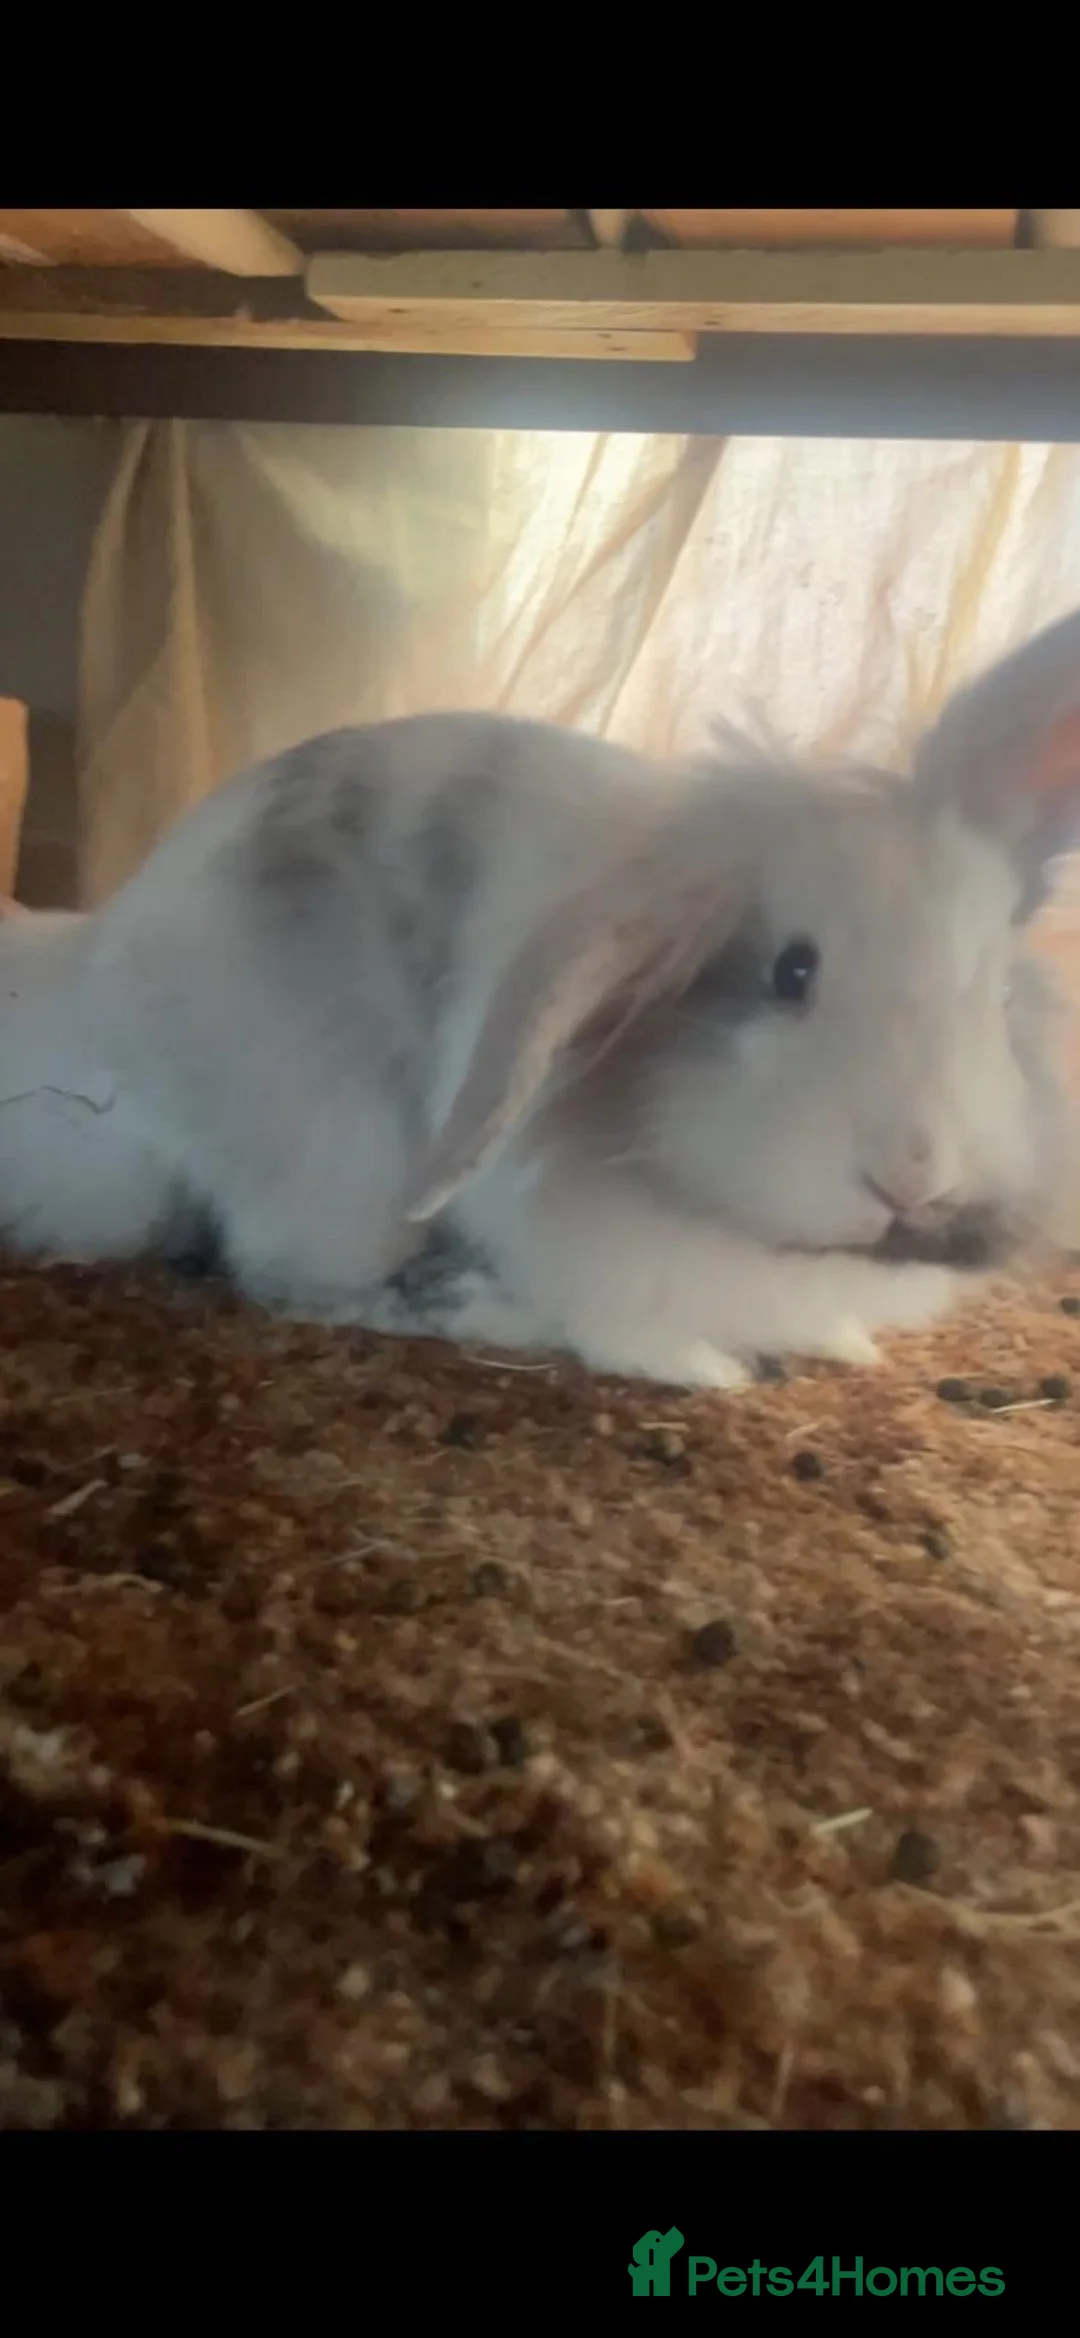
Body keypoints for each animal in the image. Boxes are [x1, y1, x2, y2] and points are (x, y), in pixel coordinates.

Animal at [2, 607, 1080, 1390]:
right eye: (793, 972)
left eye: (996, 992)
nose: (913, 1176)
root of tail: (100, 988)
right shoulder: (580, 1247)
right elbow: (619, 1324)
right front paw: (707, 1371)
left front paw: (843, 1344)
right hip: (342, 1175)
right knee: (290, 1281)